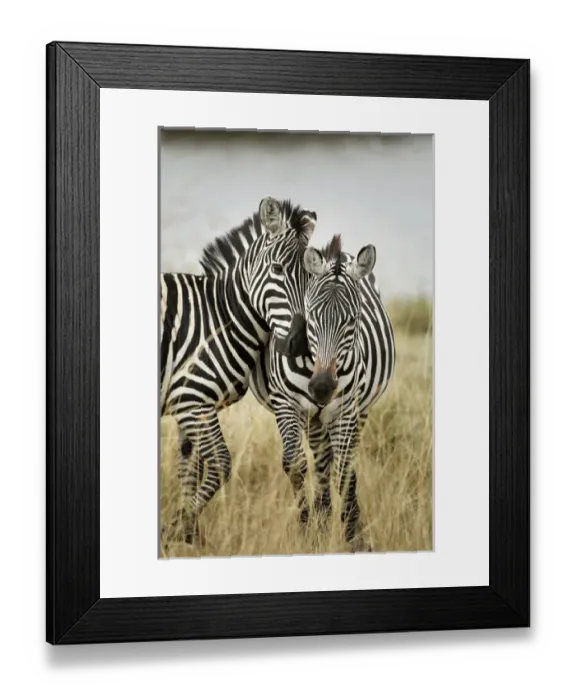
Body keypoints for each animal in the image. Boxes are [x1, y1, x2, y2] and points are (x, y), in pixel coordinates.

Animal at [161, 196, 317, 544]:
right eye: (277, 270)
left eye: (311, 279)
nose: (300, 343)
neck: (220, 316)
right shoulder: (192, 400)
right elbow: (220, 464)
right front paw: (176, 530)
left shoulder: (191, 405)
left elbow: (189, 469)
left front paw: (187, 536)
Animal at [249, 234, 396, 551]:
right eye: (312, 316)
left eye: (353, 319)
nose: (322, 387)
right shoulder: (286, 404)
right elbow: (295, 465)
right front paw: (307, 533)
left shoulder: (346, 409)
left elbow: (345, 472)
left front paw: (354, 539)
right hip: (313, 418)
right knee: (320, 462)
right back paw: (322, 519)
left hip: (358, 412)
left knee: (334, 462)